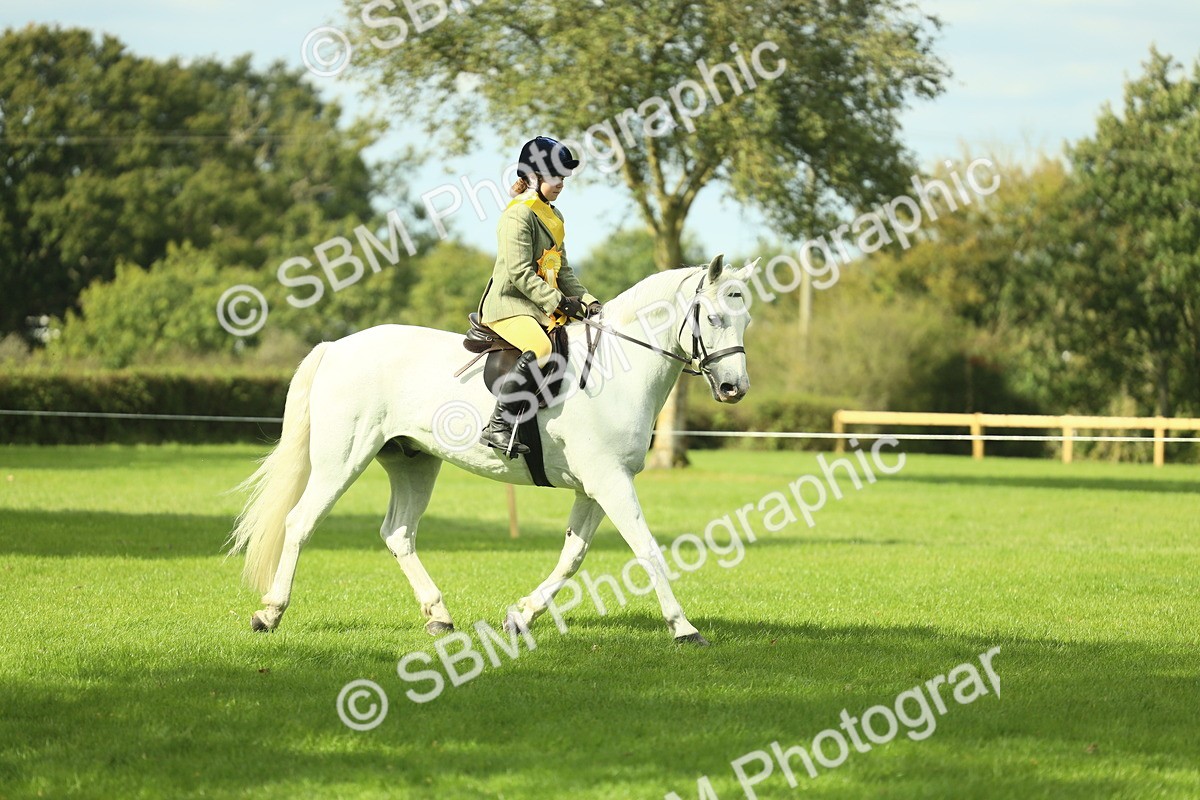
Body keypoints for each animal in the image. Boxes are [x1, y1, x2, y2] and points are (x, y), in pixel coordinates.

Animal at [228, 253, 759, 645]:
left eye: (746, 319)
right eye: (714, 318)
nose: (735, 389)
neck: (617, 368)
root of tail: (336, 347)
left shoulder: (595, 486)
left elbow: (573, 557)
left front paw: (521, 616)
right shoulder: (609, 481)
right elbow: (646, 549)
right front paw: (684, 627)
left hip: (412, 462)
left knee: (398, 533)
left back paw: (438, 615)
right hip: (341, 460)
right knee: (301, 522)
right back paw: (269, 614)